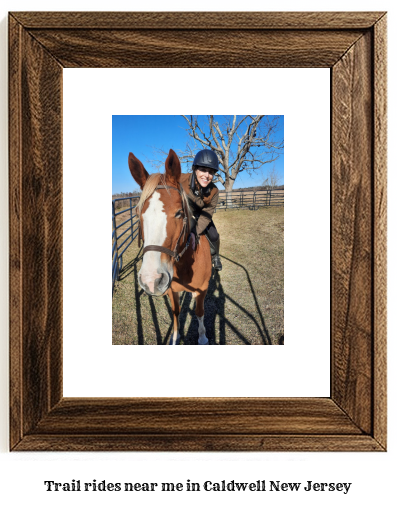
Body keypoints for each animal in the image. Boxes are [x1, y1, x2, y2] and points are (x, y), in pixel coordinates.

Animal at [128, 147, 212, 346]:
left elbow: (199, 312)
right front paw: (175, 337)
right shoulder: (171, 291)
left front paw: (203, 337)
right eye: (138, 213)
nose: (151, 280)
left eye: (180, 213)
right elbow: (176, 312)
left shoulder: (203, 289)